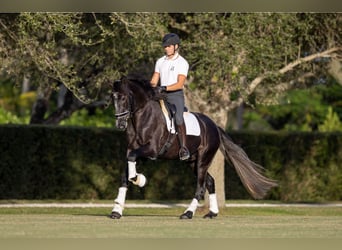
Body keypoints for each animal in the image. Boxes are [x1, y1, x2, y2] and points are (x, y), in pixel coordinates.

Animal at [109, 76, 278, 219]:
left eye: (123, 97)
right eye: (113, 98)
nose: (120, 124)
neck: (143, 118)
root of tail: (214, 126)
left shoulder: (152, 149)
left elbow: (131, 165)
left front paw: (138, 179)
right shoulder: (133, 150)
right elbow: (126, 173)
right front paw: (116, 210)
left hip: (203, 159)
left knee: (201, 187)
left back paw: (188, 213)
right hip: (193, 162)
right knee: (210, 182)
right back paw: (212, 213)